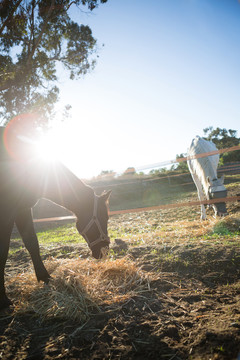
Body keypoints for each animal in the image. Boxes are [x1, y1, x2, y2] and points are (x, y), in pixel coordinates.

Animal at [0, 126, 110, 310]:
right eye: (104, 218)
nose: (104, 250)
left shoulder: (23, 210)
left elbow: (32, 243)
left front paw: (45, 277)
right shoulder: (7, 213)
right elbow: (3, 252)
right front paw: (3, 299)